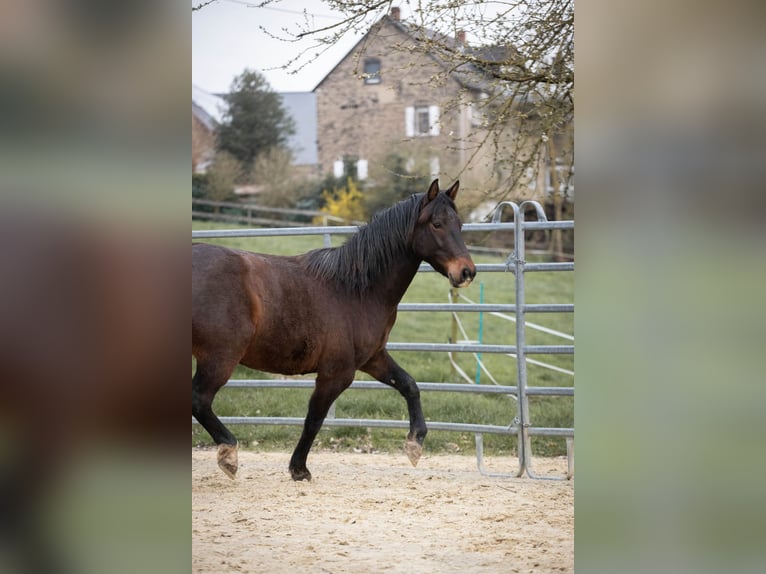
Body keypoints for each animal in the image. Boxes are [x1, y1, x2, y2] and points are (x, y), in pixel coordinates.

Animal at [194, 180, 474, 482]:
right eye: (436, 224)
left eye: (459, 224)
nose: (467, 272)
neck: (356, 290)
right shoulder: (336, 373)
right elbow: (314, 419)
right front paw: (299, 469)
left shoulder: (373, 359)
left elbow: (409, 385)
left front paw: (415, 444)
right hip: (220, 358)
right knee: (199, 400)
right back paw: (229, 455)